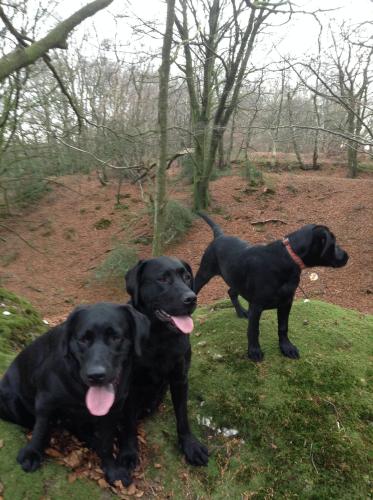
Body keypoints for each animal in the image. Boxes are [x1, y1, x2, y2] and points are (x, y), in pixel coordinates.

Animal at [0, 300, 148, 484]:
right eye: (83, 340)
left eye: (116, 337)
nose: (96, 375)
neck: (81, 389)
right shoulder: (45, 400)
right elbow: (40, 428)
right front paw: (32, 452)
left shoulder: (112, 411)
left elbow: (106, 443)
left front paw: (112, 469)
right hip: (13, 402)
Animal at [120, 256, 209, 482]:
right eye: (162, 279)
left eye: (186, 277)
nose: (191, 299)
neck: (159, 337)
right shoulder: (130, 386)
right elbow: (128, 423)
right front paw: (128, 452)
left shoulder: (180, 378)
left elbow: (182, 416)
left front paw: (190, 446)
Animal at [193, 213, 348, 362]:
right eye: (333, 243)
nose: (347, 256)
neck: (287, 259)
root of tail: (219, 236)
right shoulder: (256, 305)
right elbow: (253, 330)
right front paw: (254, 351)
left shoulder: (286, 302)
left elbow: (283, 327)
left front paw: (286, 347)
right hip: (204, 273)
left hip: (237, 279)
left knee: (231, 291)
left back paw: (241, 312)